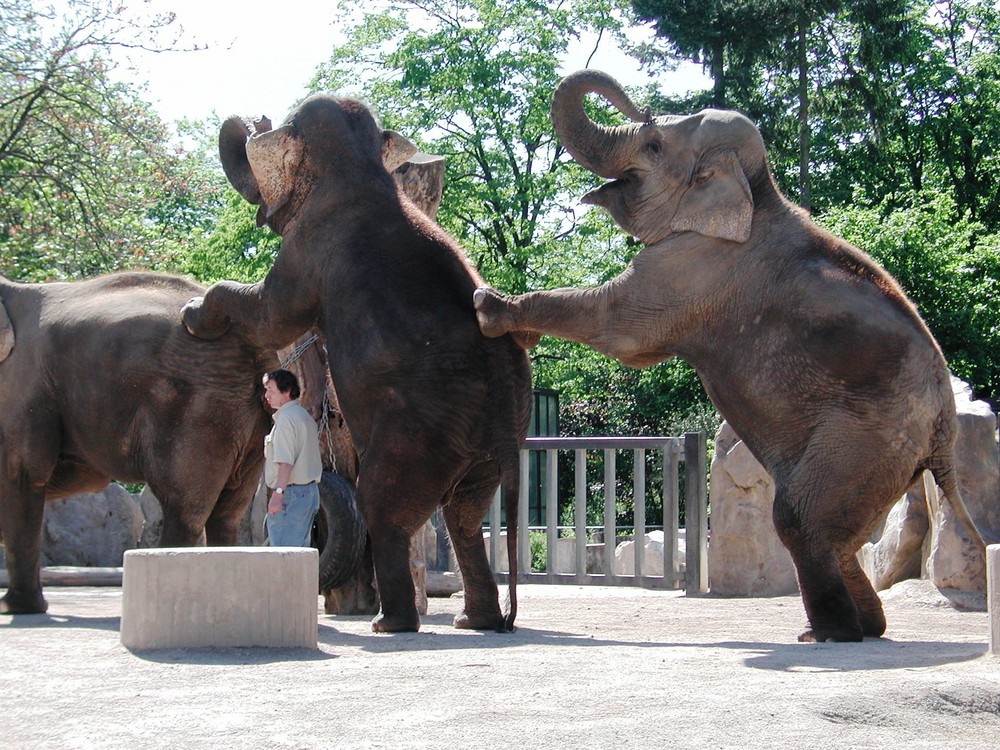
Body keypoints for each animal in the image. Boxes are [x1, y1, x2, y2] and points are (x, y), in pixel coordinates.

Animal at [183, 94, 536, 636]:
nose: (253, 119)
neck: (357, 162)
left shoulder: (308, 244)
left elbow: (272, 316)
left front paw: (192, 315)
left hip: (419, 433)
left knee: (382, 501)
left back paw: (390, 624)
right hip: (489, 442)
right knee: (464, 514)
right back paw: (473, 622)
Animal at [474, 72, 984, 648]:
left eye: (654, 146)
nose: (639, 106)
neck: (759, 188)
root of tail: (945, 430)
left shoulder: (697, 266)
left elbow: (618, 328)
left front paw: (488, 306)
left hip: (868, 437)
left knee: (799, 518)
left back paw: (831, 636)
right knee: (839, 534)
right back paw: (858, 629)